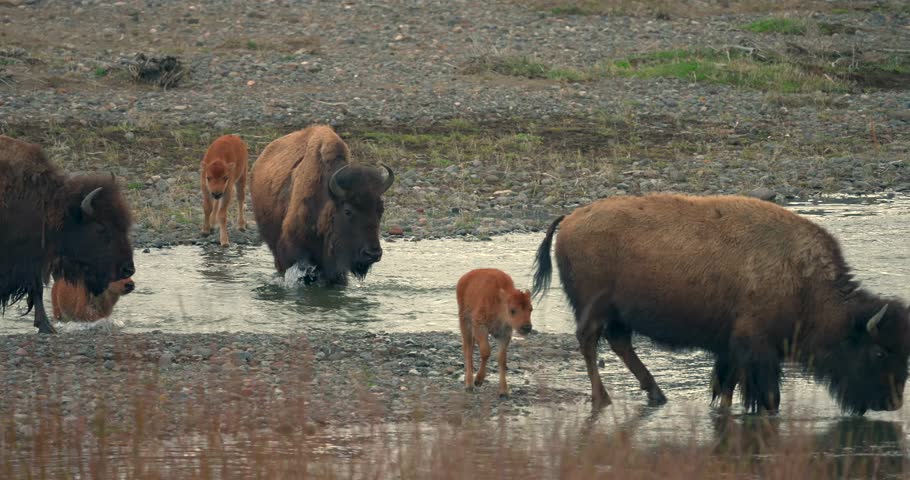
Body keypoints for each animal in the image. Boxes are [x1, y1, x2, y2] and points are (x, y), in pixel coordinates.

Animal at [0, 135, 135, 334]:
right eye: (101, 227)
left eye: (124, 225)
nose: (128, 269)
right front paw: (47, 327)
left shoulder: (35, 259)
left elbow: (37, 289)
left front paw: (46, 327)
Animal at [457, 268, 533, 397]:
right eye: (512, 310)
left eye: (531, 309)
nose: (526, 327)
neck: (499, 303)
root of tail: (464, 278)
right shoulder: (480, 327)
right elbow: (486, 352)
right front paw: (478, 380)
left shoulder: (504, 334)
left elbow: (502, 359)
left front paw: (503, 391)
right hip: (465, 322)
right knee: (468, 350)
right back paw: (469, 385)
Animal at [531, 193, 910, 415]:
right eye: (879, 352)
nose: (892, 404)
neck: (805, 283)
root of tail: (570, 218)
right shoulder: (756, 348)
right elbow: (766, 397)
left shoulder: (730, 348)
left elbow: (726, 387)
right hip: (595, 308)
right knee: (590, 342)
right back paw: (604, 398)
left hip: (616, 313)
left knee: (619, 342)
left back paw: (656, 394)